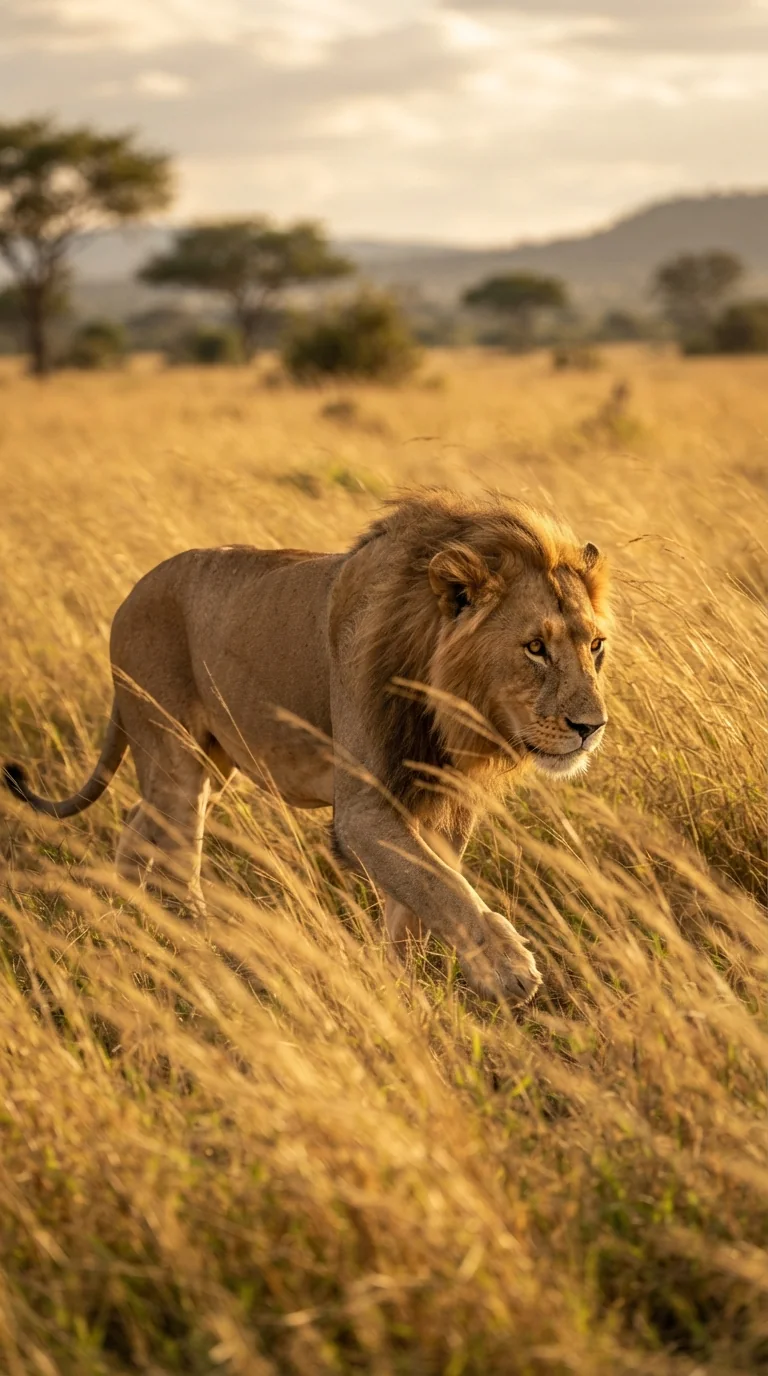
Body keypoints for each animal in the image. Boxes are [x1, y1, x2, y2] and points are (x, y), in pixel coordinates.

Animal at [4, 490, 611, 1006]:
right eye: (535, 648)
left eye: (596, 646)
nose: (592, 727)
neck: (453, 708)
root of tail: (131, 593)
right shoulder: (362, 812)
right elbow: (441, 886)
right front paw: (509, 967)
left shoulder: (445, 800)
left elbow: (418, 900)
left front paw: (405, 991)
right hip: (175, 756)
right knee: (176, 853)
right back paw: (197, 943)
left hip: (211, 765)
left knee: (137, 824)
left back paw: (130, 923)